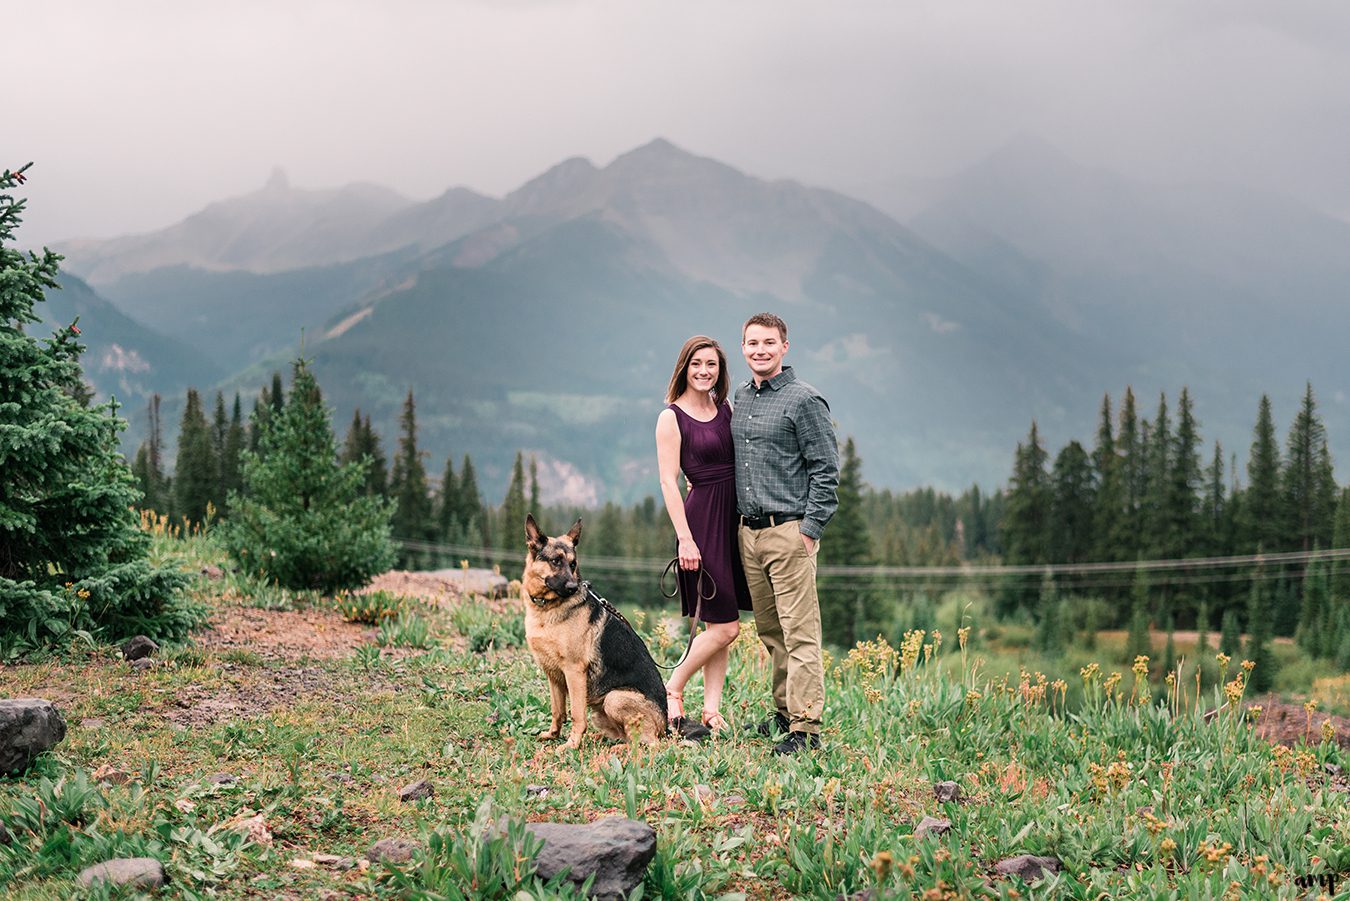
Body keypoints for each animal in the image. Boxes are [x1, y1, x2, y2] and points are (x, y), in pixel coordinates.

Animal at [518, 513, 666, 745]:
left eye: (573, 564)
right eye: (555, 561)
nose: (573, 587)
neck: (547, 608)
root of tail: (666, 725)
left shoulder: (574, 671)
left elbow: (577, 714)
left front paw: (571, 745)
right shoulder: (553, 675)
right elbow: (557, 710)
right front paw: (553, 735)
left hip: (614, 698)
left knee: (648, 743)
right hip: (602, 711)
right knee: (625, 736)